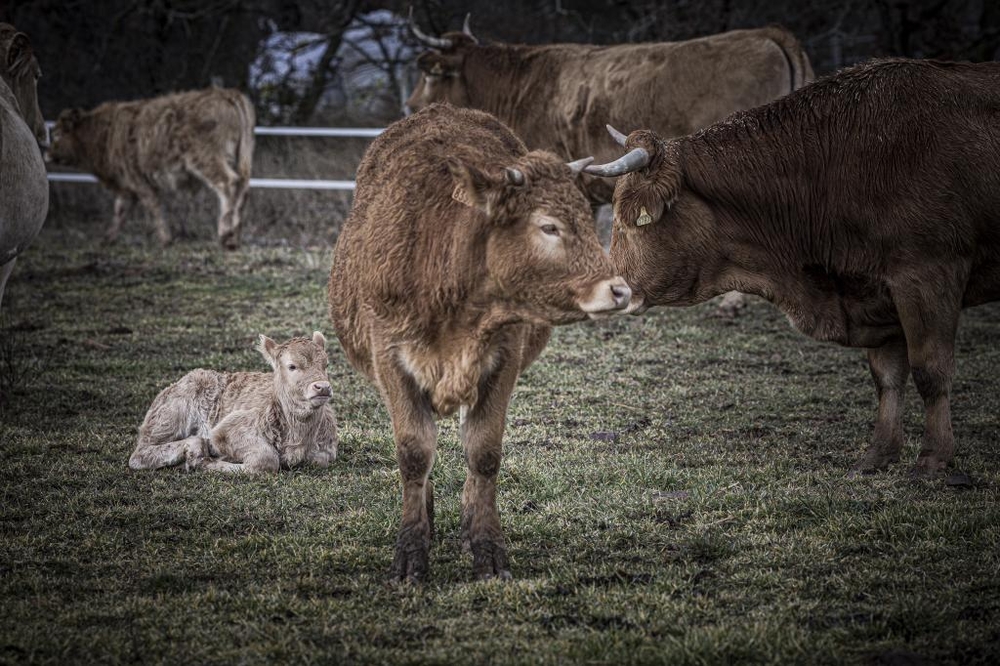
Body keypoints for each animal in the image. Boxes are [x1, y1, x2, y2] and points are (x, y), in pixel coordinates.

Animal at [48, 85, 256, 246]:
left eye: (57, 134)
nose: (46, 153)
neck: (103, 135)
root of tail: (226, 93)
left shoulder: (137, 179)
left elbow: (153, 206)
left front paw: (165, 239)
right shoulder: (127, 186)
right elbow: (120, 211)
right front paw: (107, 239)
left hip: (206, 158)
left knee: (228, 183)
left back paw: (225, 234)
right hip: (241, 159)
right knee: (243, 189)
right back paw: (235, 237)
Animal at [129, 330, 338, 470]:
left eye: (326, 364)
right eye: (292, 366)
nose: (322, 386)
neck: (297, 437)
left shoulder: (327, 449)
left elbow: (318, 460)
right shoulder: (225, 430)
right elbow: (266, 460)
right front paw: (209, 462)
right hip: (168, 418)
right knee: (140, 454)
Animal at [330, 104, 632, 580]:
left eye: (586, 218)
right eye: (549, 226)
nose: (619, 290)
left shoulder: (502, 360)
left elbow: (484, 452)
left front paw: (487, 547)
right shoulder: (390, 360)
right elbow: (414, 454)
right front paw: (411, 551)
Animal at [584, 58, 1000, 478]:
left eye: (630, 222)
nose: (610, 290)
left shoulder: (928, 274)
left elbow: (931, 371)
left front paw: (934, 457)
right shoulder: (876, 291)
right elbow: (887, 377)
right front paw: (879, 453)